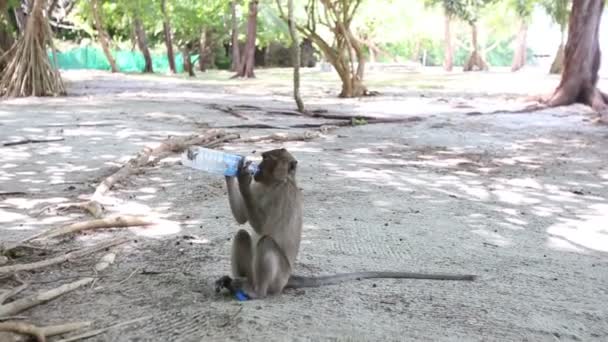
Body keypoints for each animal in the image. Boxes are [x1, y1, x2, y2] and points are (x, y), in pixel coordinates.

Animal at [216, 148, 478, 300]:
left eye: (266, 159)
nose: (256, 167)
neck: (276, 183)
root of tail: (288, 278)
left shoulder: (282, 196)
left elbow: (264, 227)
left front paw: (241, 174)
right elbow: (242, 220)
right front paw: (229, 172)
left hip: (278, 277)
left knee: (267, 243)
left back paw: (255, 291)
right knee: (242, 234)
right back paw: (237, 282)